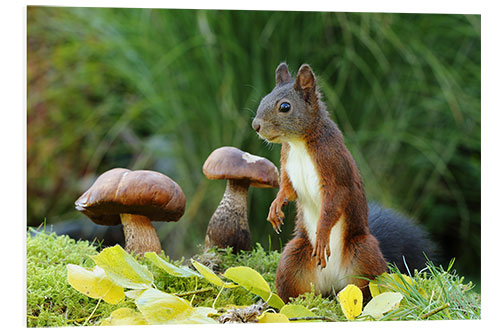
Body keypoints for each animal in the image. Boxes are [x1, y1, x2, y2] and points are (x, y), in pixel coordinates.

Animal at [252, 61, 436, 300]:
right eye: (264, 98)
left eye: (285, 107)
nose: (256, 126)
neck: (299, 143)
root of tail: (331, 285)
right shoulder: (287, 164)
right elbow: (288, 190)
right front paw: (275, 206)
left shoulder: (335, 168)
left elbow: (334, 201)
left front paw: (322, 235)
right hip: (292, 259)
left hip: (364, 254)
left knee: (367, 290)